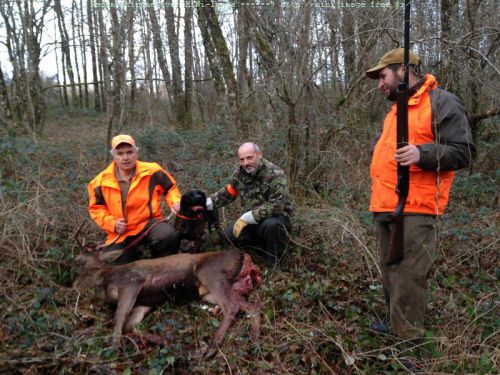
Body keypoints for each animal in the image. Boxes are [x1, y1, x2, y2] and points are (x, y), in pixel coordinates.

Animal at [75, 247, 262, 358]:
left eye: (85, 256)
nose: (75, 283)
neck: (106, 279)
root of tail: (245, 256)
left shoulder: (131, 283)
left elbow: (119, 318)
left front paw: (115, 348)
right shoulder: (143, 303)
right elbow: (130, 325)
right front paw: (160, 340)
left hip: (210, 273)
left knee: (231, 307)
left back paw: (211, 349)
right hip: (213, 291)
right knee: (252, 306)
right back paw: (253, 341)